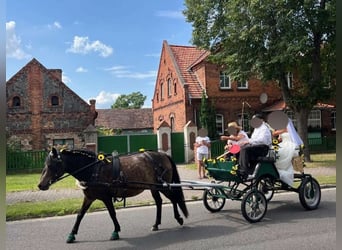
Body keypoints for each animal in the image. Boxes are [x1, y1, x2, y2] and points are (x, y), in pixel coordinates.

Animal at [38, 147, 188, 243]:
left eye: (51, 165)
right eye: (45, 164)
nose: (40, 185)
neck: (93, 169)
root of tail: (163, 155)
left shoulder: (106, 197)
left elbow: (112, 213)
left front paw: (116, 231)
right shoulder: (89, 197)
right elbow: (80, 215)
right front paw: (72, 234)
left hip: (163, 186)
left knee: (174, 199)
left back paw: (179, 218)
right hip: (153, 187)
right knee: (159, 202)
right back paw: (156, 224)